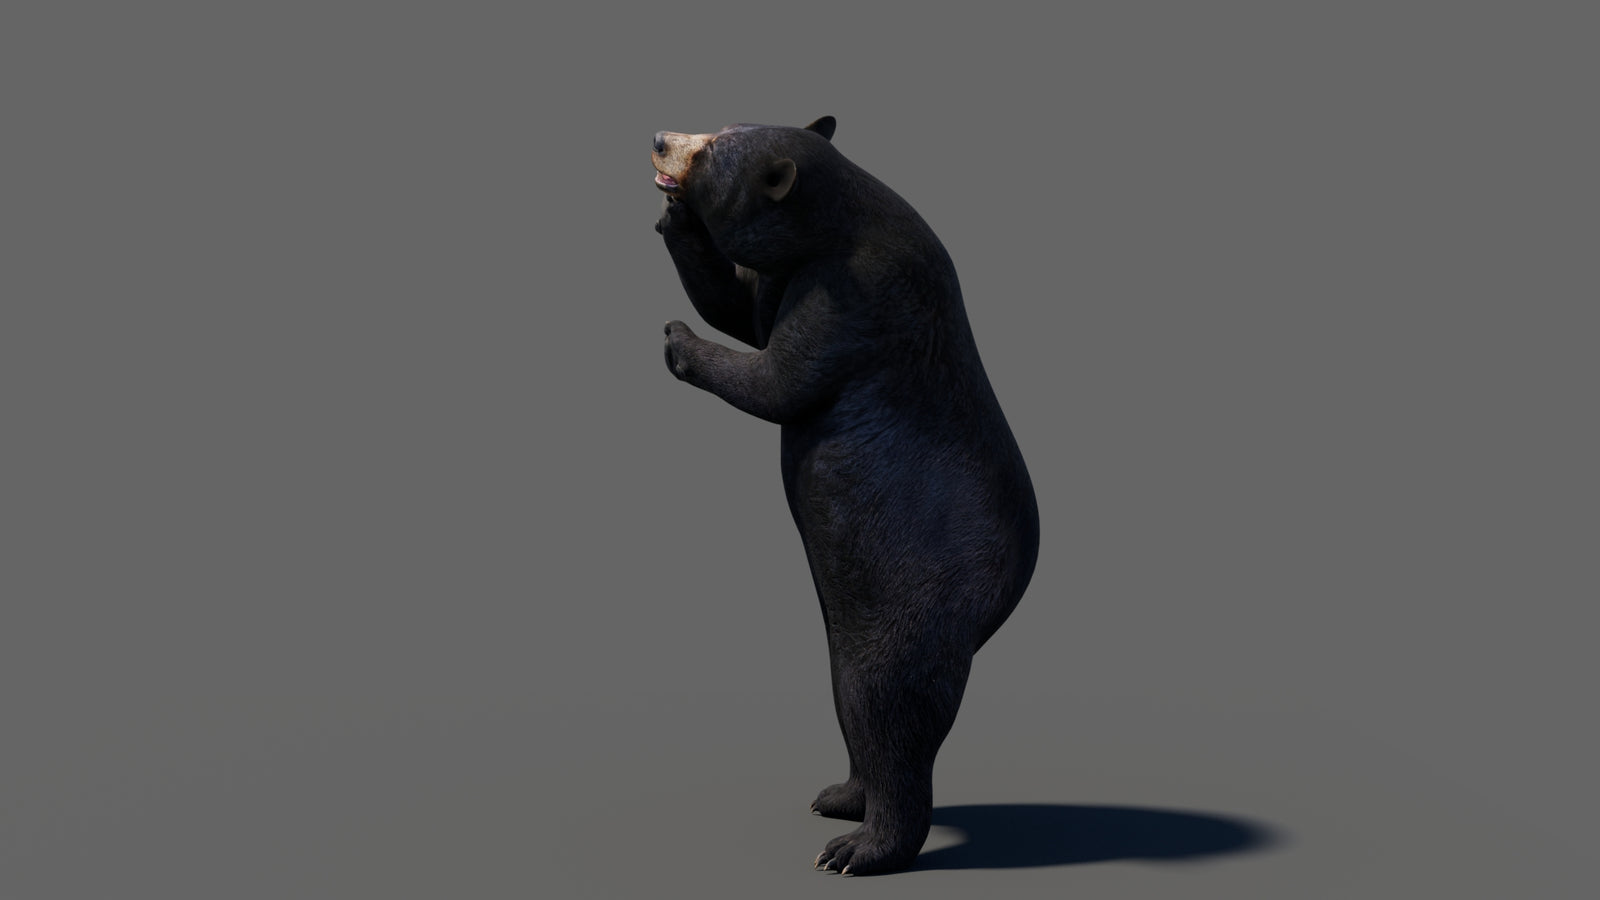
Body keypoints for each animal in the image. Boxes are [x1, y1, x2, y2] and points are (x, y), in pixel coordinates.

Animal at [651, 116, 1039, 875]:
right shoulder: (797, 271)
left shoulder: (855, 293)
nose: (657, 139)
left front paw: (679, 339)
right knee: (851, 699)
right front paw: (673, 219)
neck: (843, 219)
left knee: (885, 704)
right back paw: (841, 795)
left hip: (914, 599)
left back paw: (859, 848)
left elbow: (778, 377)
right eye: (716, 126)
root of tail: (998, 604)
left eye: (711, 150)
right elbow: (744, 306)